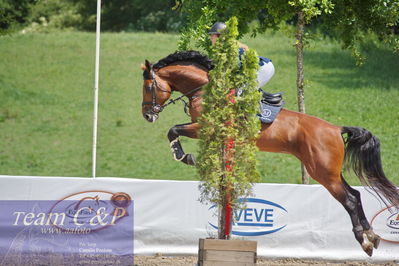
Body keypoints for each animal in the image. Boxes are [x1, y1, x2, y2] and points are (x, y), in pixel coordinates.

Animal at [140, 50, 399, 256]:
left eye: (148, 87)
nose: (147, 115)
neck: (206, 90)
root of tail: (336, 128)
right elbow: (175, 131)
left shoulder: (207, 127)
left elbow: (173, 130)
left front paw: (183, 156)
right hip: (329, 172)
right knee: (355, 194)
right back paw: (372, 236)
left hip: (323, 173)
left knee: (349, 200)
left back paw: (364, 242)